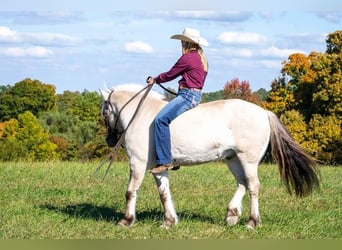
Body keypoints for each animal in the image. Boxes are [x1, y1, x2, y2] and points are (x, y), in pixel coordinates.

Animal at [100, 84, 320, 229]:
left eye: (104, 111)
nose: (109, 140)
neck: (142, 114)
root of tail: (264, 112)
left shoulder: (137, 163)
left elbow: (130, 191)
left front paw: (126, 220)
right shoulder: (158, 168)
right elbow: (164, 193)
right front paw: (169, 221)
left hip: (248, 160)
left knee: (253, 186)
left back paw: (252, 222)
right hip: (233, 159)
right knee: (242, 183)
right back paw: (231, 215)